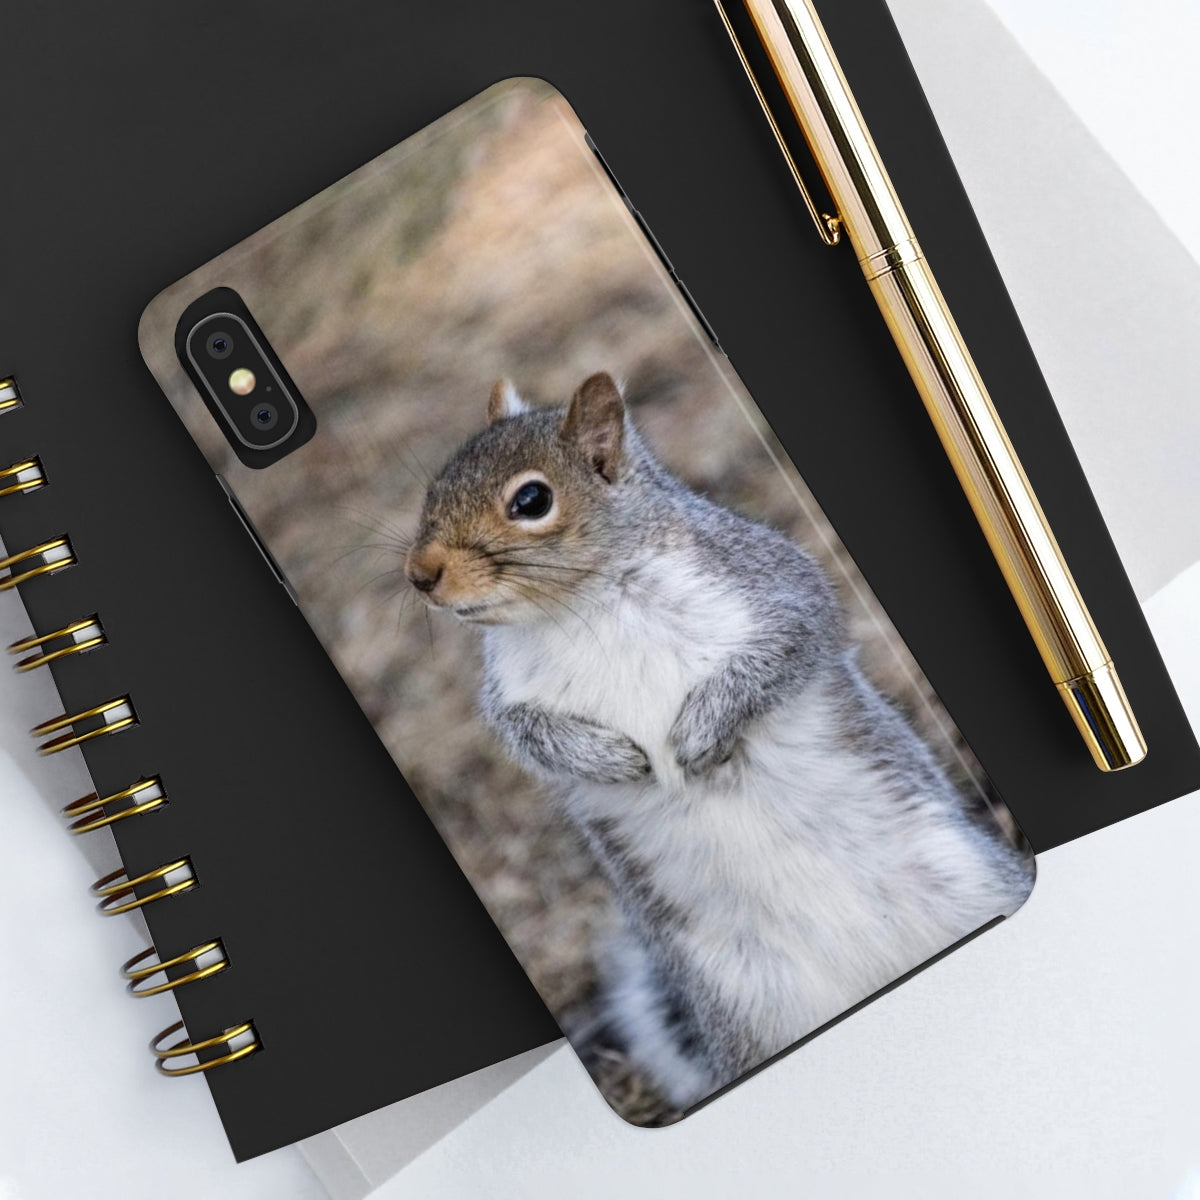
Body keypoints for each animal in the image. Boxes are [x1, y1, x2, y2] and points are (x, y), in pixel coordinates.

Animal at [405, 372, 1034, 1113]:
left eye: (531, 500)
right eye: (433, 487)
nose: (420, 575)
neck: (580, 606)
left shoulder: (772, 586)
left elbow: (787, 643)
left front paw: (698, 734)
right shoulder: (508, 697)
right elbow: (532, 737)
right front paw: (613, 758)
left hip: (973, 882)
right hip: (745, 1009)